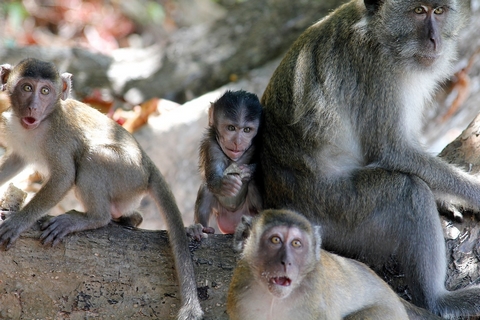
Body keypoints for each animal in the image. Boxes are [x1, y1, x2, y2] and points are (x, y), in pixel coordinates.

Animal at [0, 58, 202, 320]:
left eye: (45, 91)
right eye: (26, 88)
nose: (33, 107)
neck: (37, 126)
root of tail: (147, 163)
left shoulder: (57, 136)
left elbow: (64, 176)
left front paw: (17, 222)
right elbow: (16, 159)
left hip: (127, 173)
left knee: (91, 158)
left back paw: (94, 218)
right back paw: (131, 218)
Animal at [188, 90, 262, 240]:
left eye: (247, 130)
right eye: (231, 128)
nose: (237, 142)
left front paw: (248, 170)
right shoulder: (211, 146)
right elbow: (212, 178)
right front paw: (226, 184)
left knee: (253, 183)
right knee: (206, 188)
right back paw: (200, 228)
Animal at [260, 0, 480, 316]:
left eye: (438, 11)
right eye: (418, 11)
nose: (434, 40)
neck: (380, 35)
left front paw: (448, 199)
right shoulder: (376, 71)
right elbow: (393, 151)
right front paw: (475, 193)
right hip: (338, 213)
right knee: (407, 192)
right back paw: (436, 300)